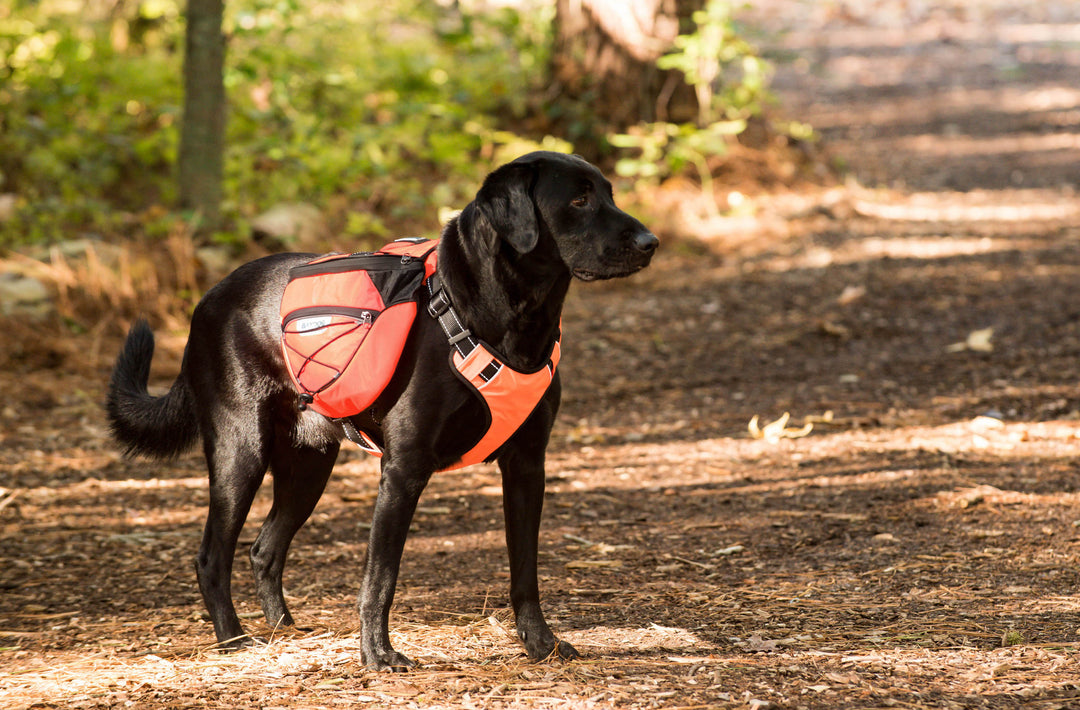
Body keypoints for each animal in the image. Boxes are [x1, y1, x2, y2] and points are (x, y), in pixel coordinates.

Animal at [105, 152, 656, 665]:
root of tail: (204, 302)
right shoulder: (403, 470)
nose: (651, 242)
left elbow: (525, 569)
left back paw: (285, 629)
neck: (504, 316)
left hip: (308, 464)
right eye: (579, 199)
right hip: (241, 452)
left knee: (265, 549)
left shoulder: (527, 465)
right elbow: (381, 577)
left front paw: (540, 644)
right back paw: (234, 639)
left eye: (609, 193)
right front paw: (377, 654)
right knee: (211, 556)